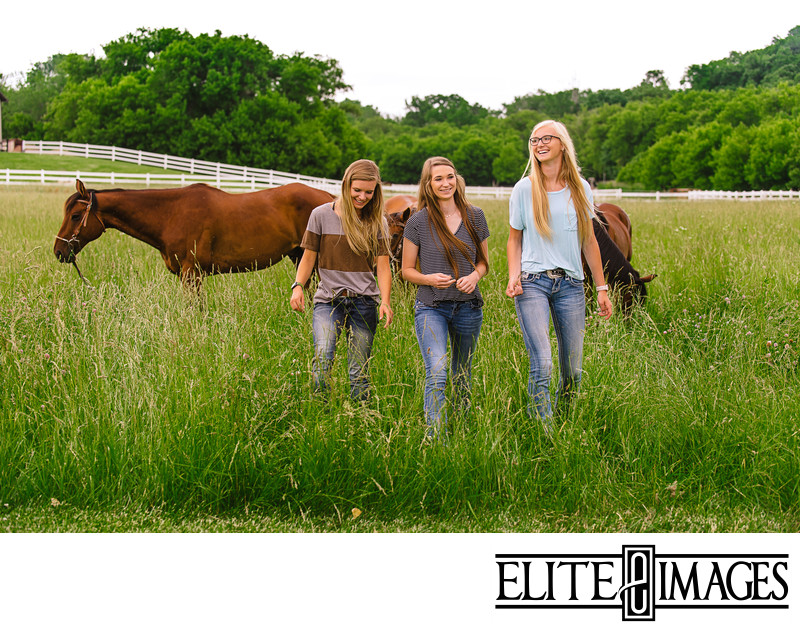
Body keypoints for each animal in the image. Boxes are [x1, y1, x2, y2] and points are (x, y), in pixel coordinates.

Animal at [54, 178, 332, 286]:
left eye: (75, 215)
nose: (59, 251)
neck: (171, 215)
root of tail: (329, 197)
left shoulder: (192, 274)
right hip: (299, 257)